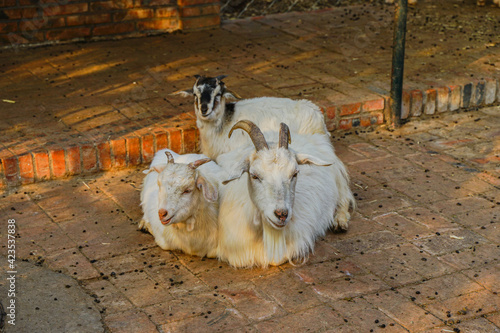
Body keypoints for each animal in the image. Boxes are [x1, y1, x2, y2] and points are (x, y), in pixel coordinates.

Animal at [217, 120, 350, 268]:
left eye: (295, 173)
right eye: (254, 175)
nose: (282, 214)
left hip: (338, 179)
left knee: (345, 198)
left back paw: (340, 222)